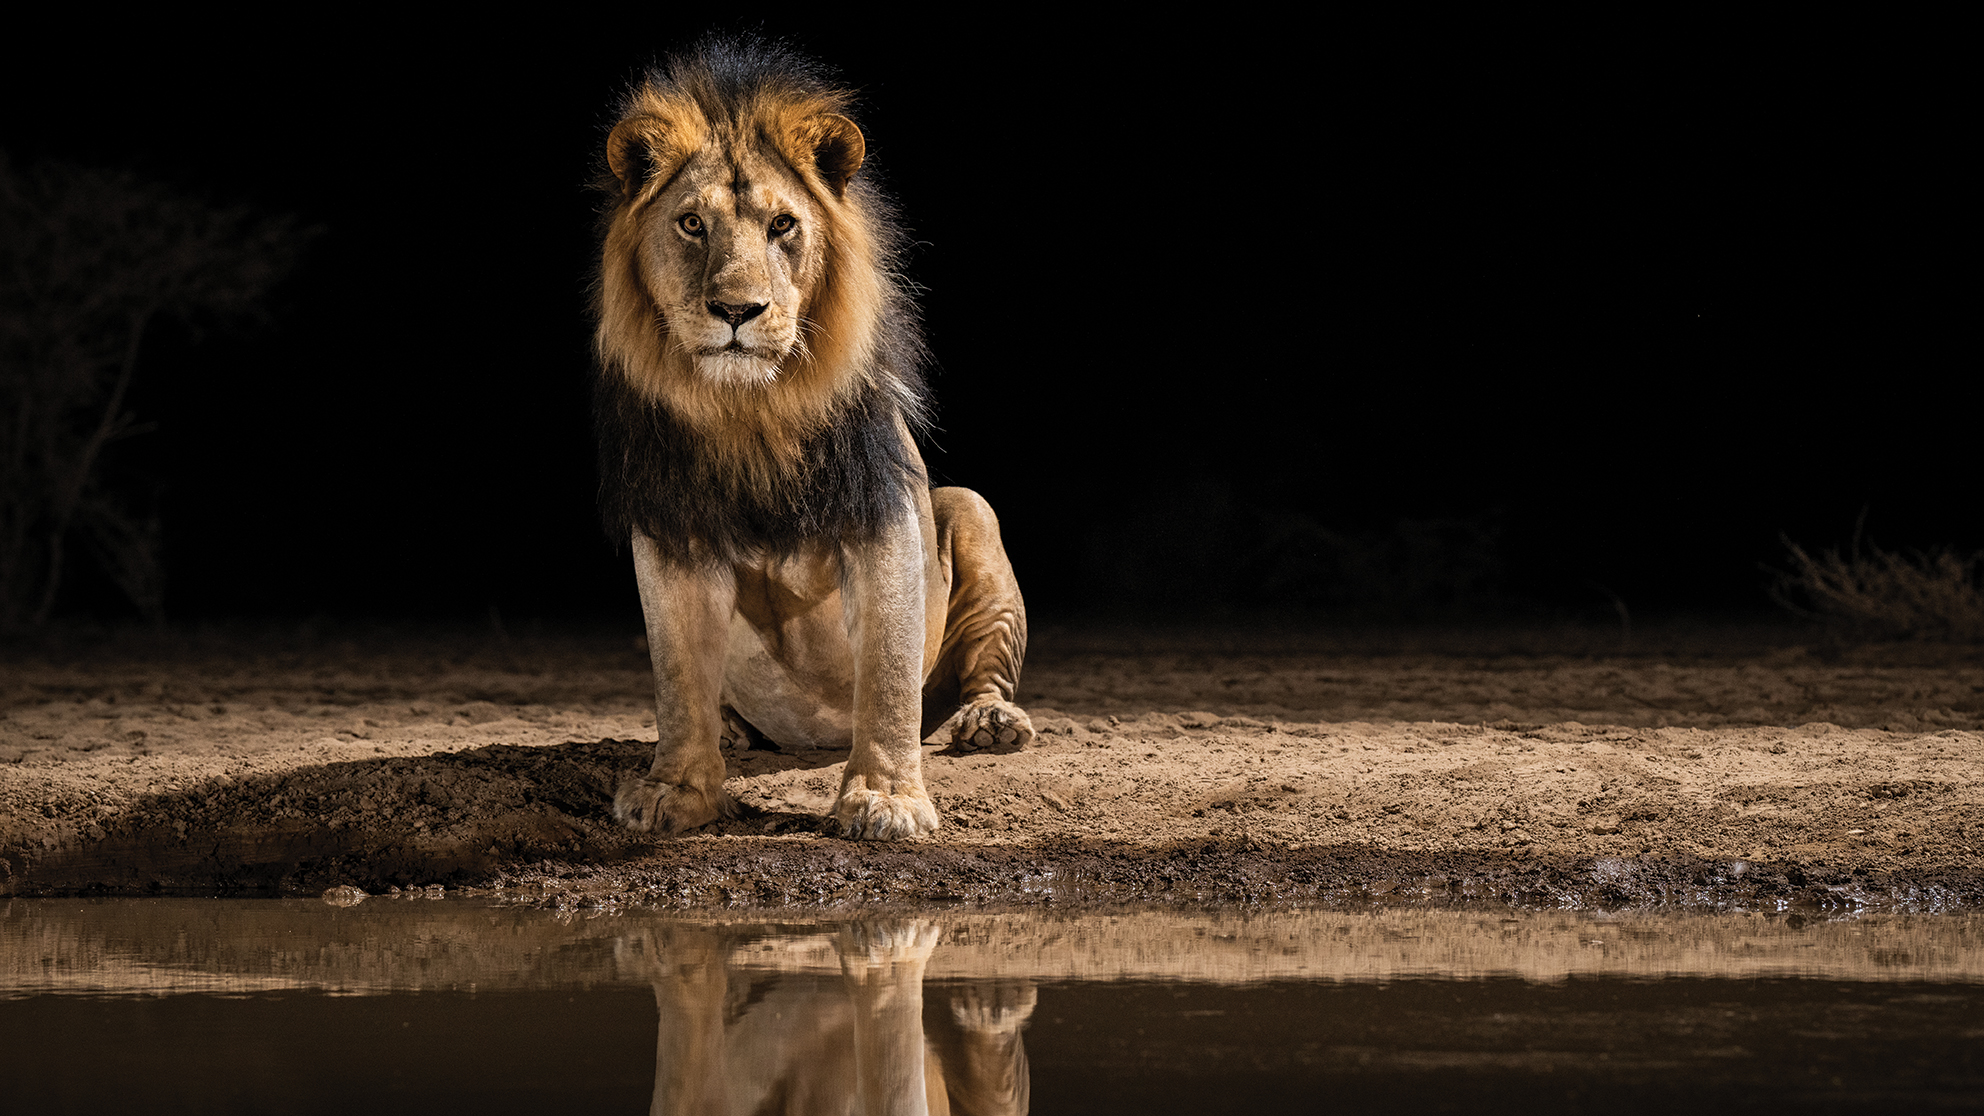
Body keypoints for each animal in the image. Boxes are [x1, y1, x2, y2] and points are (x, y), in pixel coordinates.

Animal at [592, 39, 1032, 841]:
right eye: (692, 224)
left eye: (782, 226)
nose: (737, 309)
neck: (750, 413)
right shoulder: (671, 532)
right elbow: (677, 678)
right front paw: (676, 790)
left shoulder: (882, 521)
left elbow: (887, 674)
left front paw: (886, 800)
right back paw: (732, 732)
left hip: (972, 512)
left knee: (980, 672)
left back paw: (990, 724)